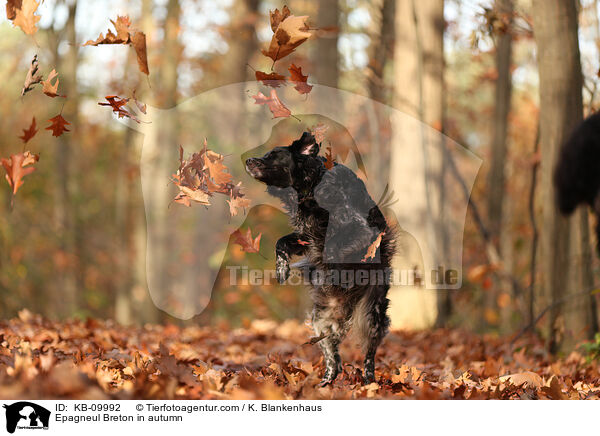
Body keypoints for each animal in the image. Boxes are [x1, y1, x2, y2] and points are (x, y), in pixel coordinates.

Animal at [246, 131, 396, 384]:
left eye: (273, 155)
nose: (248, 160)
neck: (311, 186)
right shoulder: (306, 235)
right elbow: (281, 243)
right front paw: (282, 270)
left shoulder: (358, 229)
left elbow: (335, 249)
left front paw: (332, 274)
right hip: (319, 320)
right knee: (333, 358)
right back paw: (326, 381)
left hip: (372, 316)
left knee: (368, 355)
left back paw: (369, 381)